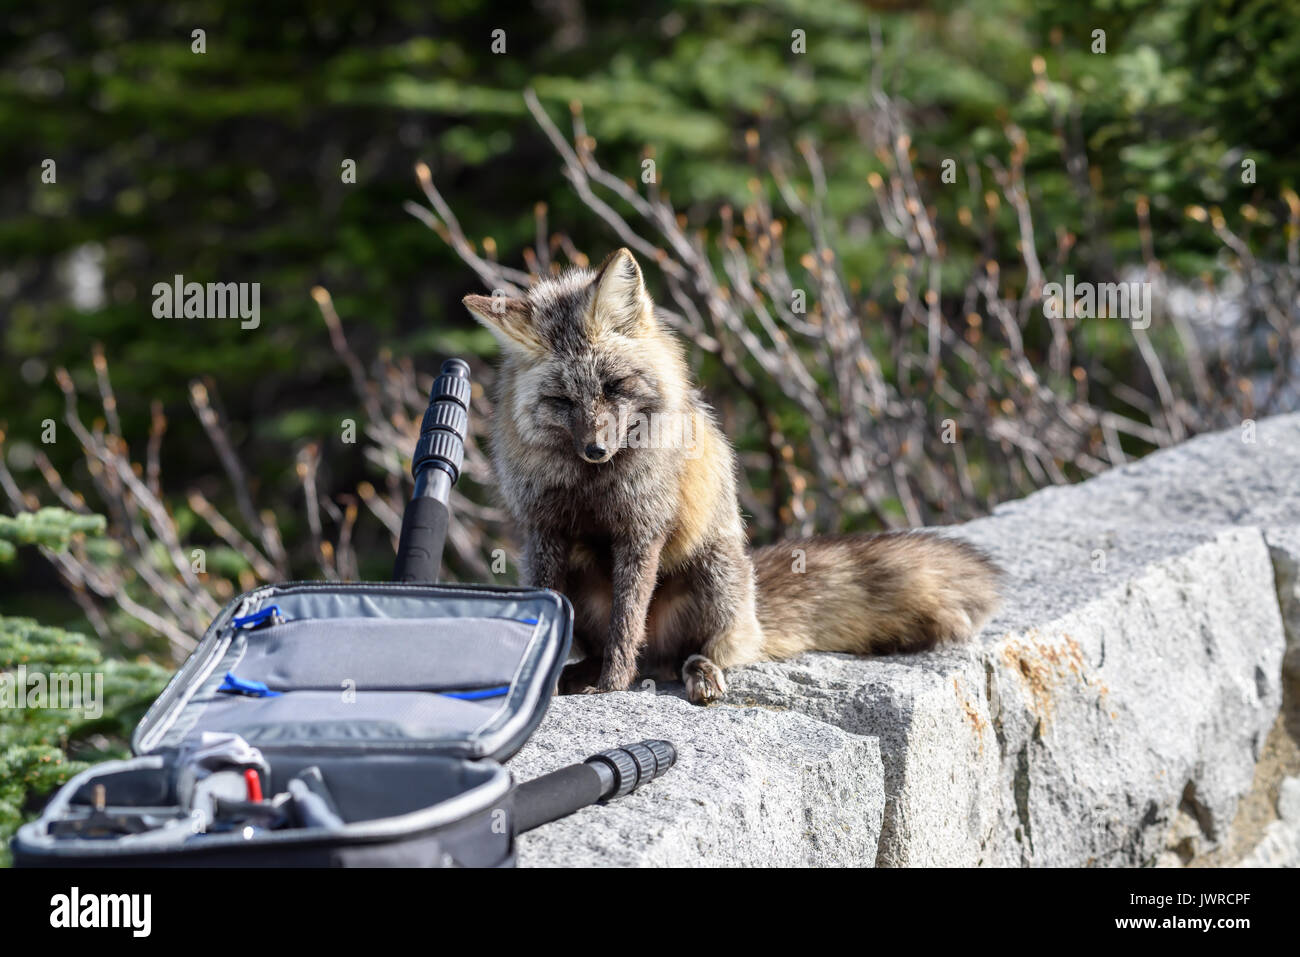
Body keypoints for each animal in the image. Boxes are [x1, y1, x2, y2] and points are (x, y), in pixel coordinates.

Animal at [462, 248, 998, 702]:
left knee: (699, 652)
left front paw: (612, 687)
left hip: (714, 576)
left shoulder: (643, 530)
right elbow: (560, 611)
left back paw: (692, 674)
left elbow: (627, 624)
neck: (592, 484)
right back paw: (585, 673)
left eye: (614, 385)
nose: (596, 450)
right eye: (562, 400)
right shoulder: (544, 531)